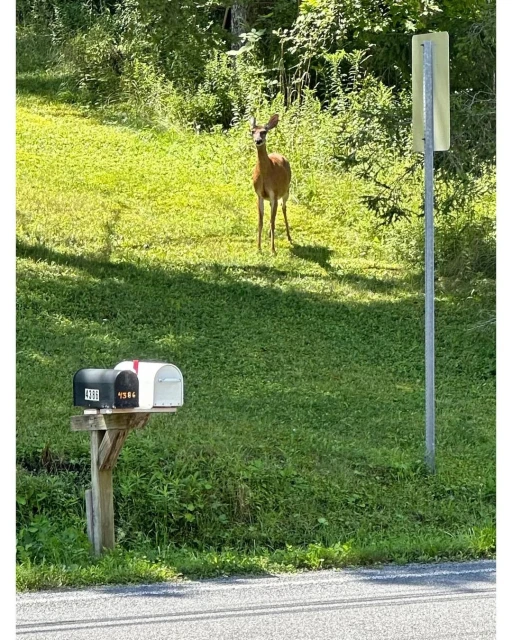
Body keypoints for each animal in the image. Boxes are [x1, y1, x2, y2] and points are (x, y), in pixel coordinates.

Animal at [249, 114, 292, 254]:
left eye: (264, 131)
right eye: (252, 131)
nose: (258, 141)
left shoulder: (274, 193)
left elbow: (273, 222)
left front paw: (273, 250)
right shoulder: (259, 195)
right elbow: (260, 221)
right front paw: (258, 248)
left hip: (286, 190)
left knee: (283, 207)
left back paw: (289, 237)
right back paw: (269, 234)